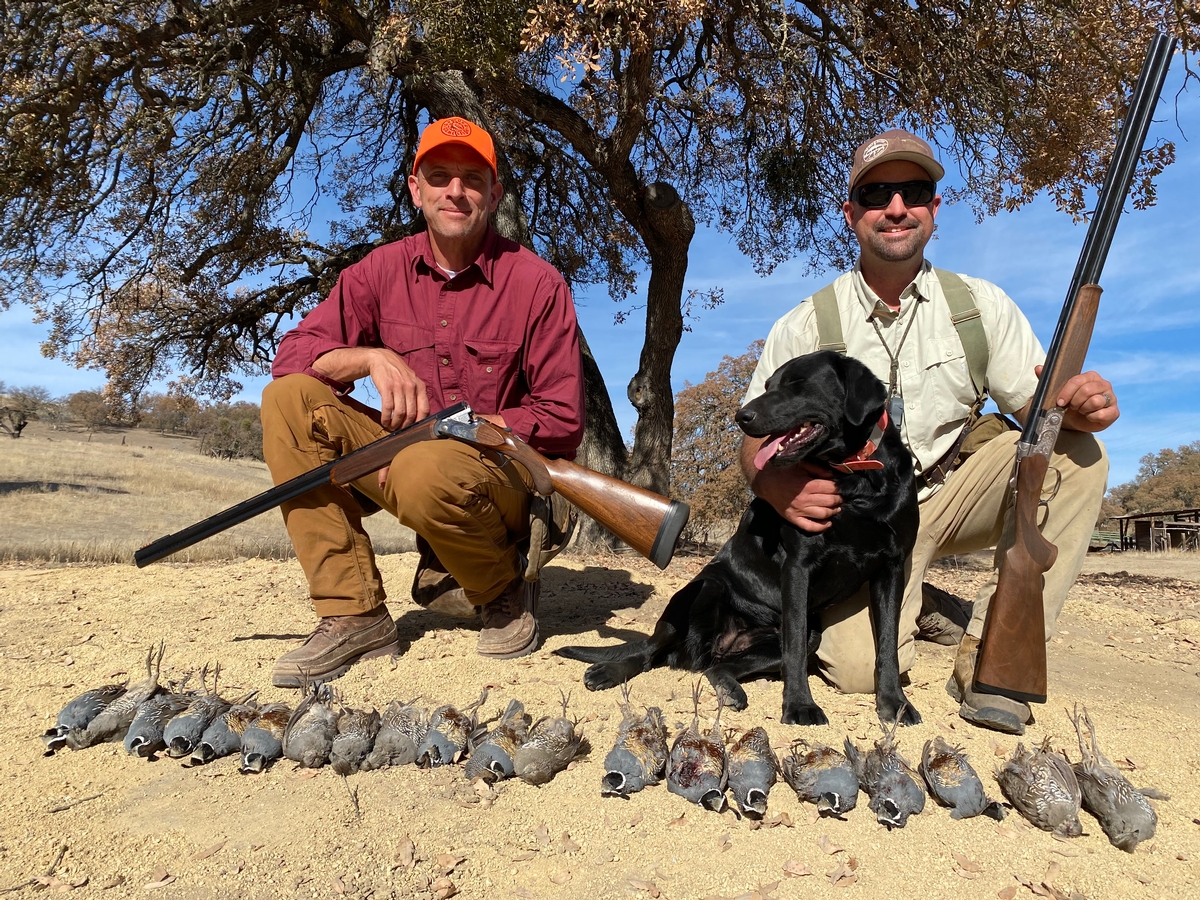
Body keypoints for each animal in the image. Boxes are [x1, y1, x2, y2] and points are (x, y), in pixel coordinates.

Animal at [556, 348, 921, 729]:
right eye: (768, 385)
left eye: (798, 384)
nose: (742, 416)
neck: (854, 478)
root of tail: (712, 648)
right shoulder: (798, 567)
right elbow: (793, 649)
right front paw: (799, 705)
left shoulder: (891, 568)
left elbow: (888, 645)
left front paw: (894, 703)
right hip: (706, 588)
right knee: (649, 652)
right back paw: (609, 671)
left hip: (800, 638)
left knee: (718, 668)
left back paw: (729, 688)